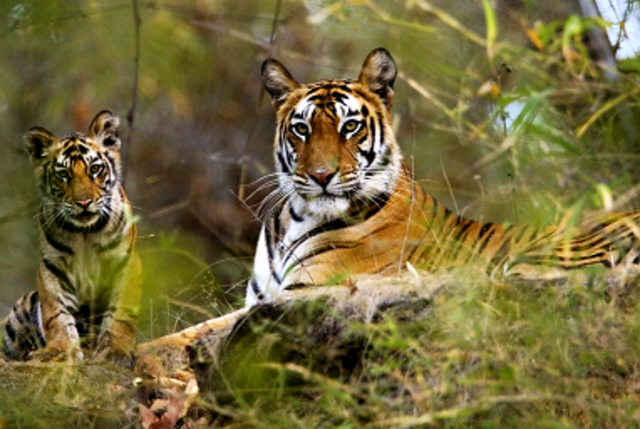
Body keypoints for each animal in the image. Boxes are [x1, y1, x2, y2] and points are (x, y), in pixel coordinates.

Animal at [2, 110, 142, 366]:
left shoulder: (126, 263)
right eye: (64, 174)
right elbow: (56, 315)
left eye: (95, 169)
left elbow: (122, 313)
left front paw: (116, 351)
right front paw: (61, 350)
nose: (83, 202)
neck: (85, 232)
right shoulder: (52, 268)